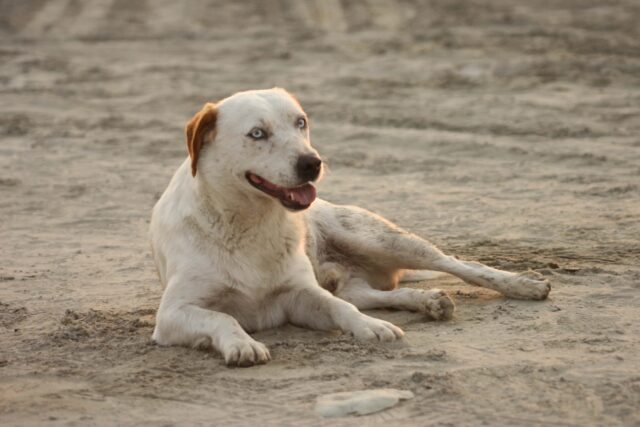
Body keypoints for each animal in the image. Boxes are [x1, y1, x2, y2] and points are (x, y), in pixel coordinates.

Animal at [150, 88, 552, 368]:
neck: (251, 223)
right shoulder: (171, 315)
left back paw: (523, 284)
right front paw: (242, 343)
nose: (312, 163)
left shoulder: (301, 295)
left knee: (460, 265)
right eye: (257, 134)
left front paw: (371, 327)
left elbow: (341, 309)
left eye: (301, 123)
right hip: (362, 268)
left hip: (382, 239)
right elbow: (223, 317)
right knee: (368, 294)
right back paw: (427, 301)